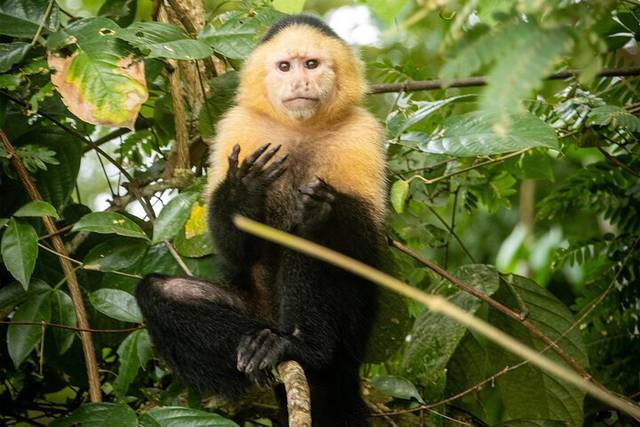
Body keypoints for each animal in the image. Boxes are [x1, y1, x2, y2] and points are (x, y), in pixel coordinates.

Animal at [135, 14, 386, 426]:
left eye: (311, 64)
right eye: (285, 67)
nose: (300, 82)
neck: (299, 128)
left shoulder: (361, 133)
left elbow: (362, 240)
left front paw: (323, 210)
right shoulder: (237, 127)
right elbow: (233, 250)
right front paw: (243, 192)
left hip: (355, 333)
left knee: (313, 247)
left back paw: (301, 347)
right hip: (251, 309)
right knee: (160, 293)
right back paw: (256, 346)